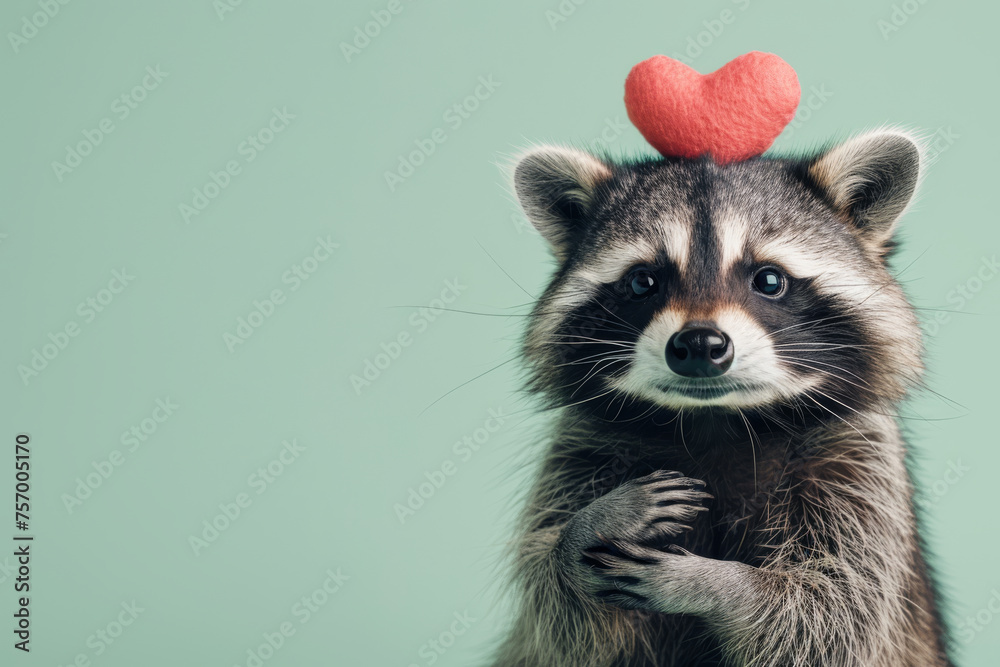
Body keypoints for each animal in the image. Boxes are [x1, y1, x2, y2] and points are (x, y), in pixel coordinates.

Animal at [491, 130, 952, 666]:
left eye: (769, 279)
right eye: (643, 281)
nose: (699, 345)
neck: (718, 420)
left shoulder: (858, 465)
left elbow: (833, 610)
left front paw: (718, 586)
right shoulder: (580, 451)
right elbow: (561, 616)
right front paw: (584, 531)